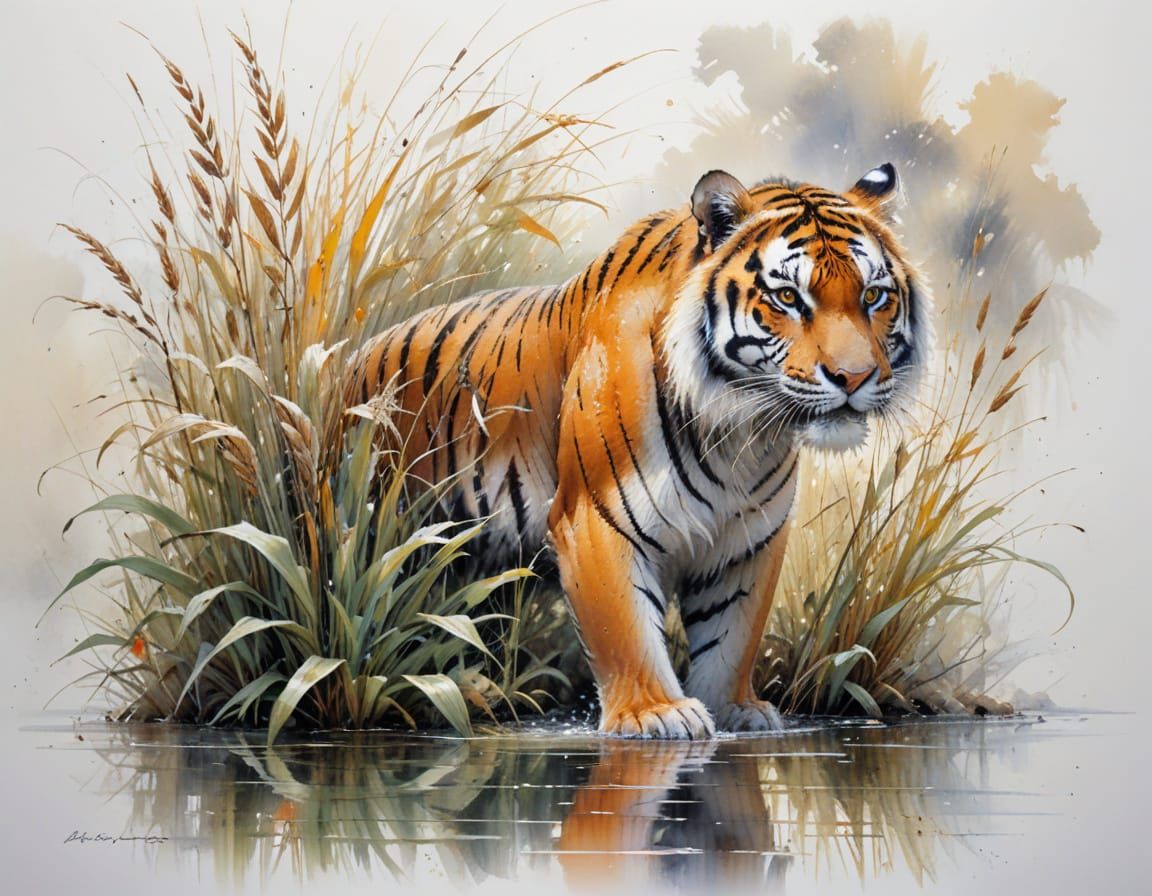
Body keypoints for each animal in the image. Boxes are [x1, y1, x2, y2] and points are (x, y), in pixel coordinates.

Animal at [349, 163, 925, 739]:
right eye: (787, 298)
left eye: (874, 296)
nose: (854, 377)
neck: (742, 435)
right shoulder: (596, 519)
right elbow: (625, 629)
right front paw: (655, 712)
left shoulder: (749, 539)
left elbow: (732, 636)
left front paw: (735, 709)